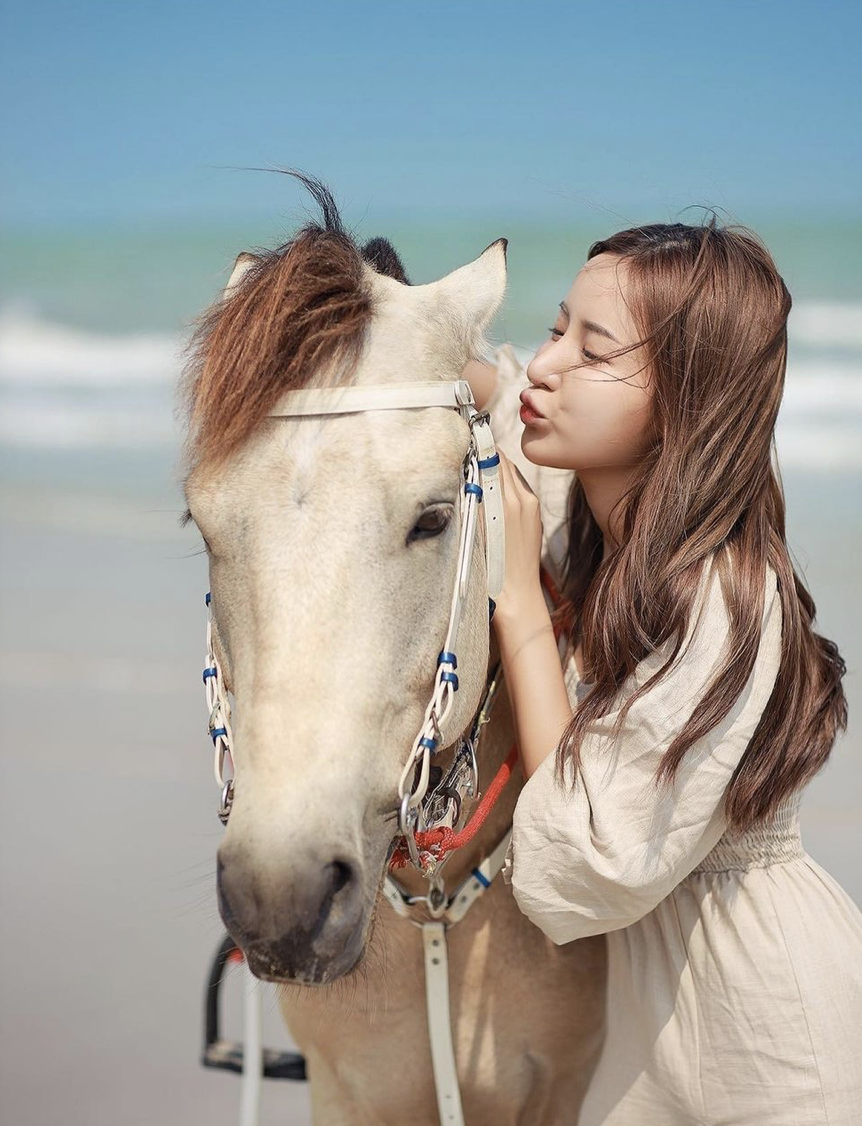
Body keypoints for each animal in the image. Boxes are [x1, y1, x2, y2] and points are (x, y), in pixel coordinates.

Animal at [178, 170, 606, 1125]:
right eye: (201, 526)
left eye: (434, 518)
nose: (282, 899)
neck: (435, 921)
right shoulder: (345, 1090)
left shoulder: (556, 1088)